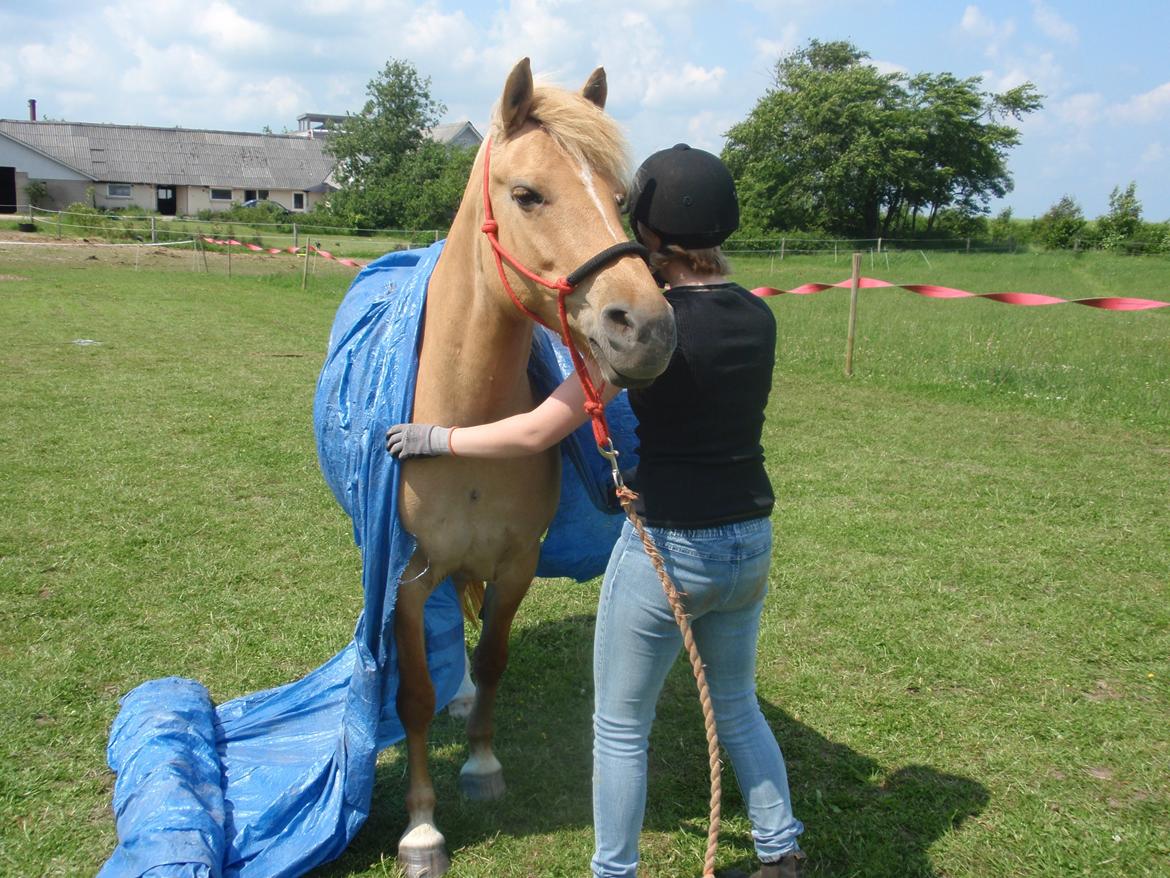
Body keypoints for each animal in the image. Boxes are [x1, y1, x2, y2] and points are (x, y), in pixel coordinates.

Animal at [393, 58, 673, 875]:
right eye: (527, 194)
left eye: (619, 199)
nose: (647, 326)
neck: (468, 429)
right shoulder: (405, 579)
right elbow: (412, 694)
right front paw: (421, 825)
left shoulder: (517, 562)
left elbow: (491, 658)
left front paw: (482, 764)